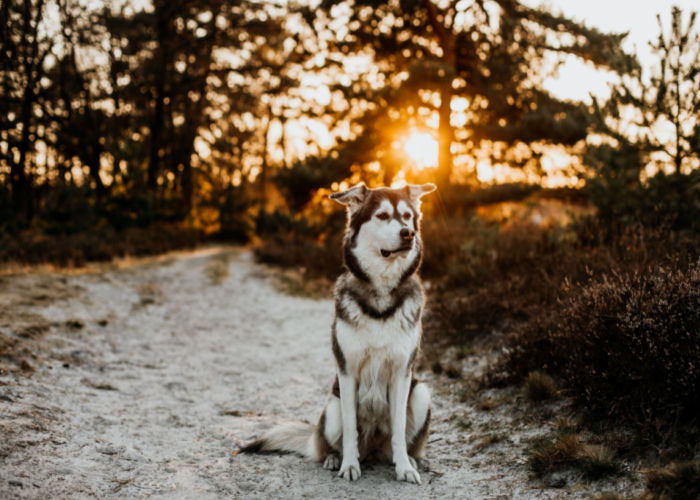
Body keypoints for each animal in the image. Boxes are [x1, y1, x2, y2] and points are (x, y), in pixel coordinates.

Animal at [243, 182, 434, 482]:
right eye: (382, 216)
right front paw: (349, 465)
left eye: (406, 216)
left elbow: (399, 431)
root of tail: (373, 449)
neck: (381, 294)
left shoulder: (403, 373)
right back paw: (334, 458)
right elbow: (350, 429)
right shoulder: (347, 371)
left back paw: (413, 459)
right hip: (331, 409)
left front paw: (404, 467)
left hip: (421, 394)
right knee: (330, 442)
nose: (408, 234)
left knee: (401, 439)